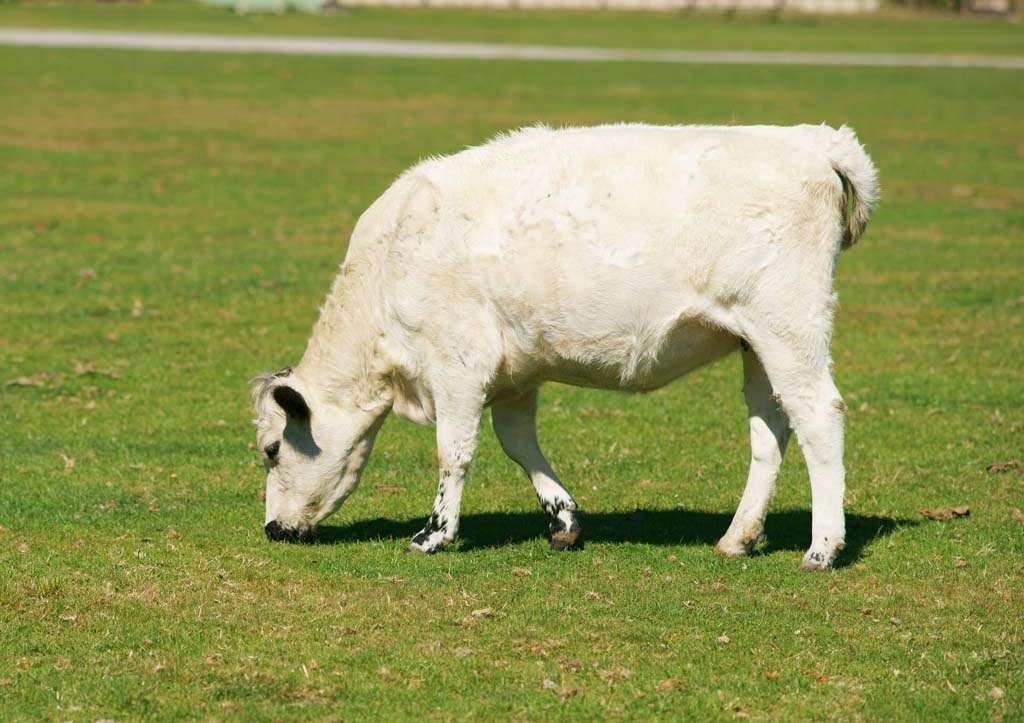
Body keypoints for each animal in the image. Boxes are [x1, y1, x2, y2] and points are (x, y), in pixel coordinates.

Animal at [251, 122, 876, 569]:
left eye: (272, 450)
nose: (273, 529)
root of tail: (808, 139)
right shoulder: (514, 375)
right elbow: (516, 443)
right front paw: (563, 519)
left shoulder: (458, 364)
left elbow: (454, 452)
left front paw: (434, 534)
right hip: (756, 343)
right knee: (770, 429)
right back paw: (738, 537)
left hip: (789, 326)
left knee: (819, 416)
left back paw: (822, 548)